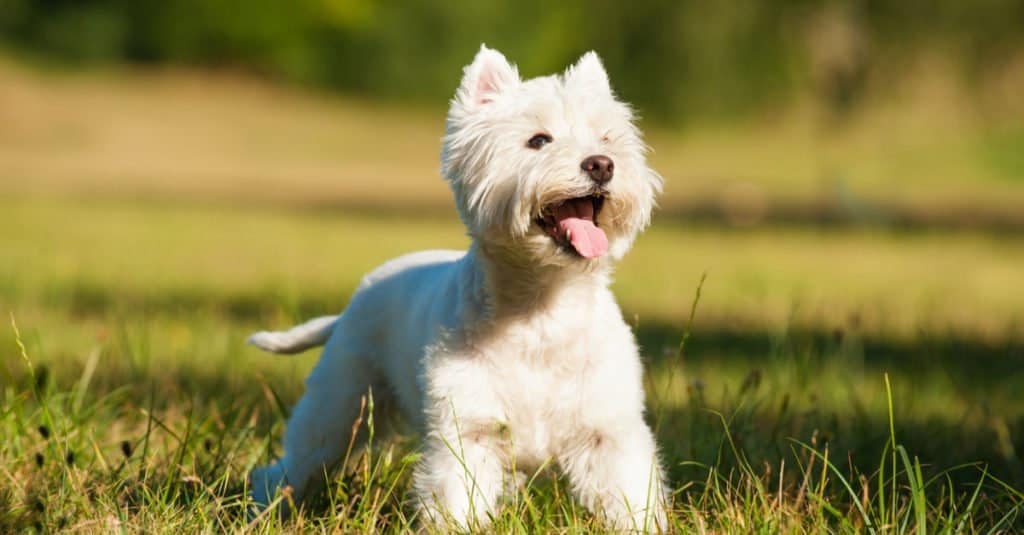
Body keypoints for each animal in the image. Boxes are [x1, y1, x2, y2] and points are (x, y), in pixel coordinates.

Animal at [245, 45, 663, 528]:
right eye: (539, 140)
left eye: (608, 139)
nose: (601, 165)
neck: (542, 310)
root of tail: (354, 302)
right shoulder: (467, 433)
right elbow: (458, 501)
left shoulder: (607, 434)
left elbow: (631, 499)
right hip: (341, 405)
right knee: (291, 465)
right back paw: (263, 510)